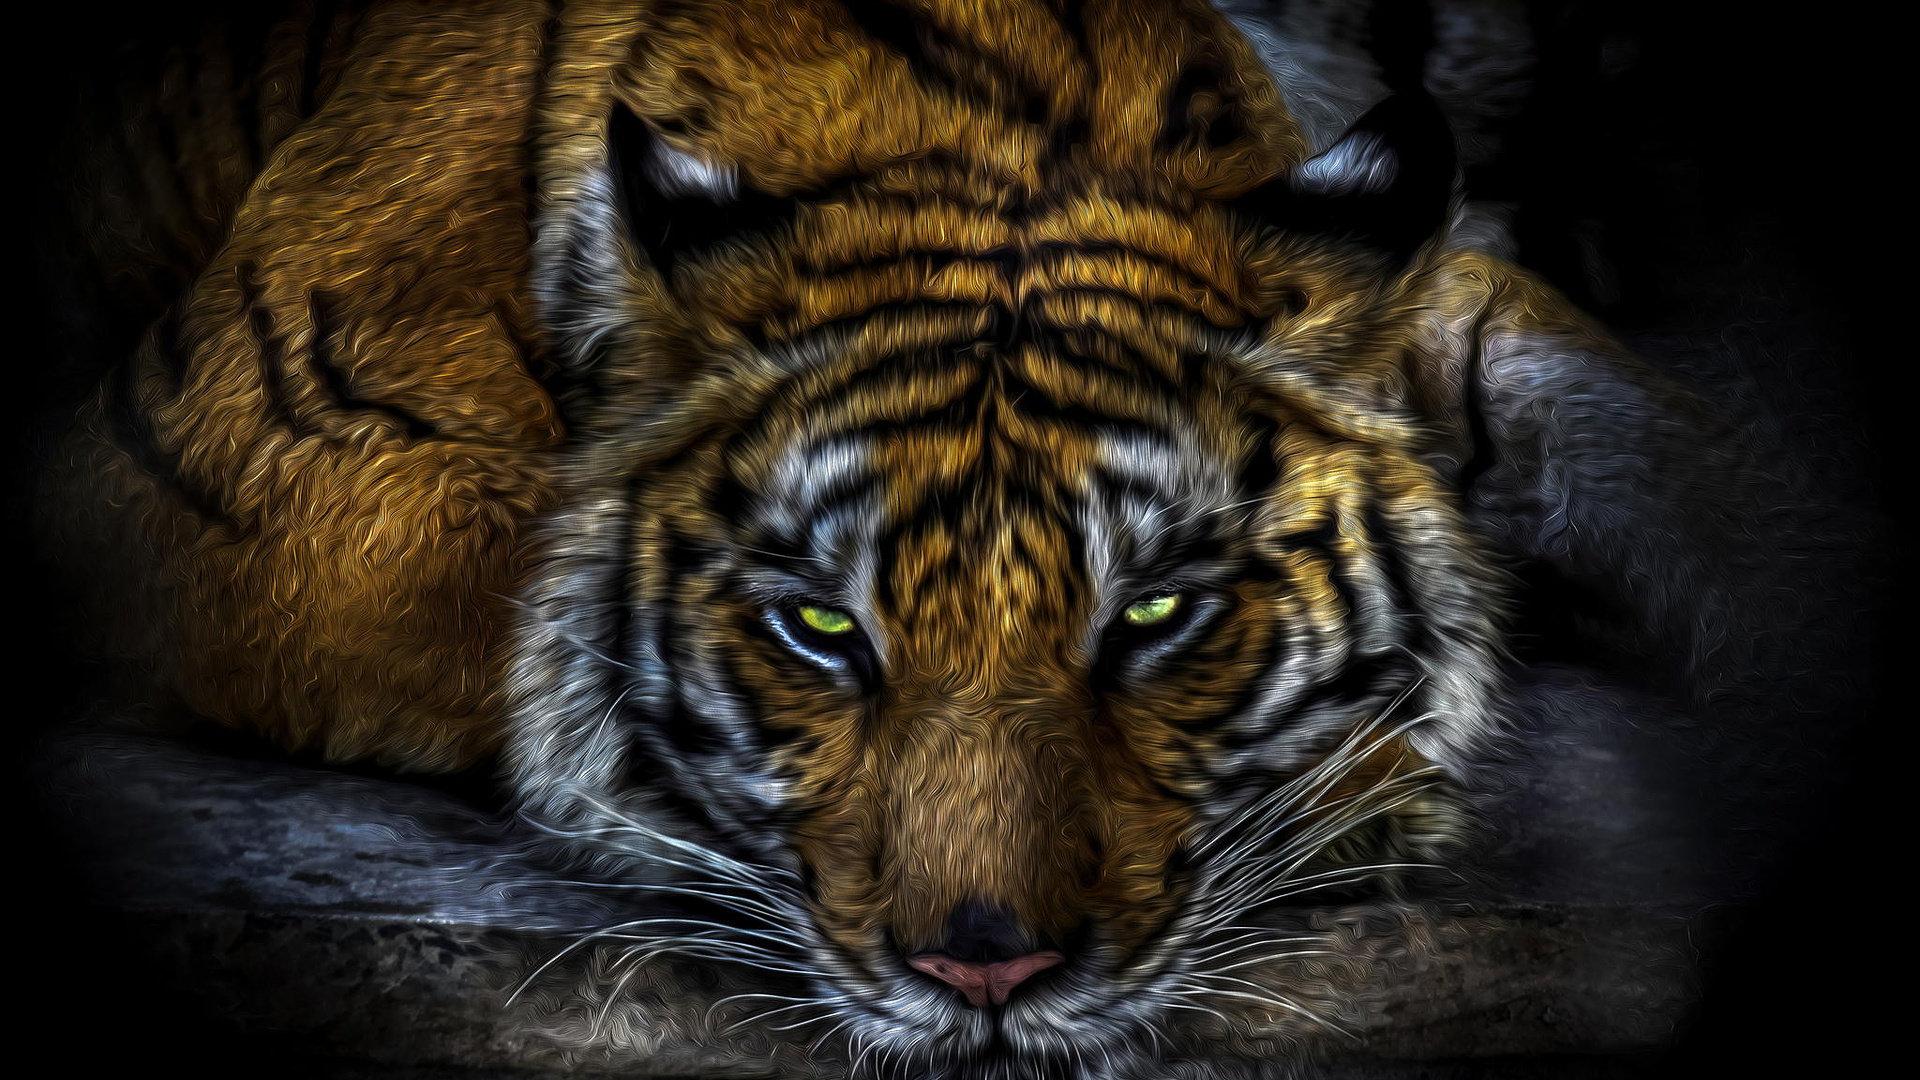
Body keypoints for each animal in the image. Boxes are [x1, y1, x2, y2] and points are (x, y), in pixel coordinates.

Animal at [34, 1, 1824, 1077]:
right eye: (823, 630)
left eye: (1157, 615)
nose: (986, 972)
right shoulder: (251, 443)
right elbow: (550, 578)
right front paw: (1364, 782)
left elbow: (1668, 442)